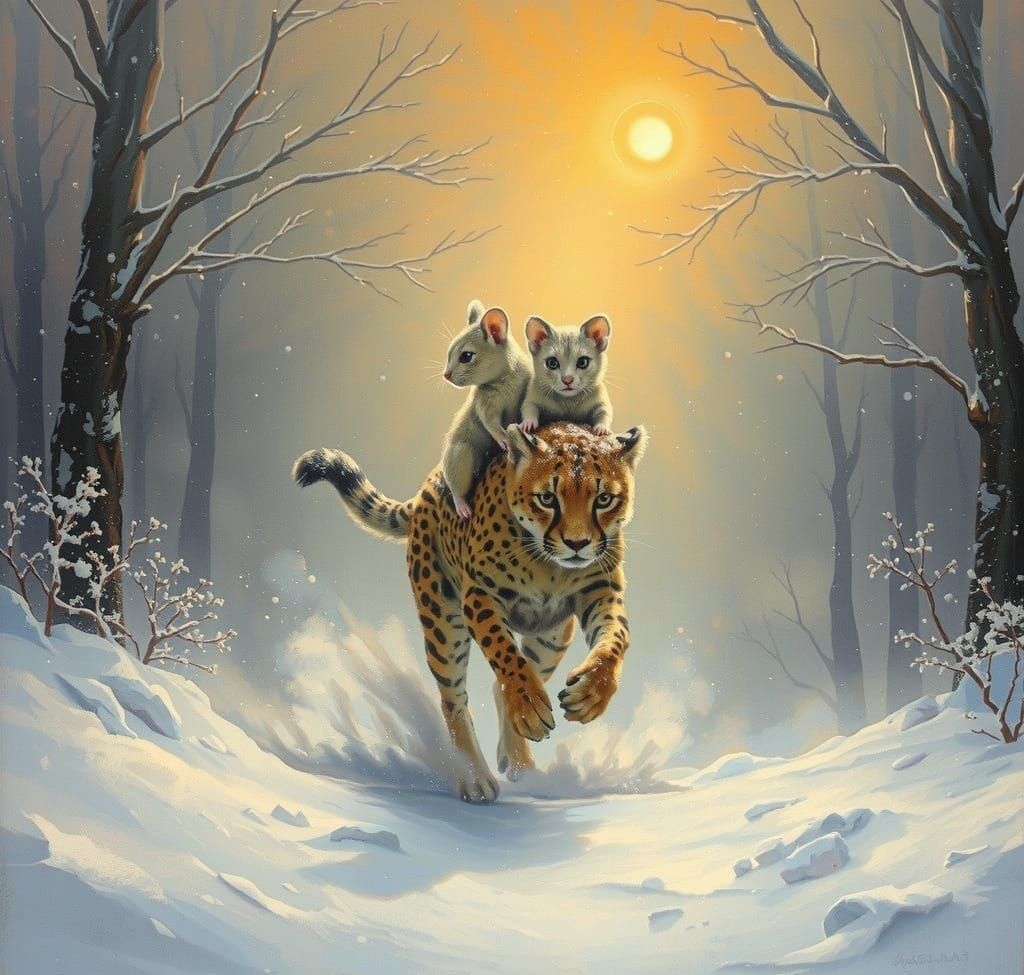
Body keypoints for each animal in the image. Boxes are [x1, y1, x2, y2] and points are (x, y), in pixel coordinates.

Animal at [293, 421, 647, 802]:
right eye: (548, 499)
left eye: (604, 499)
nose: (577, 544)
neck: (549, 567)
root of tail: (429, 483)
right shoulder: (480, 596)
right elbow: (505, 653)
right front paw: (529, 704)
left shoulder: (602, 594)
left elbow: (615, 641)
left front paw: (590, 695)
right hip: (443, 624)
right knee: (453, 698)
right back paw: (475, 778)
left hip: (551, 637)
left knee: (505, 682)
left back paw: (520, 761)